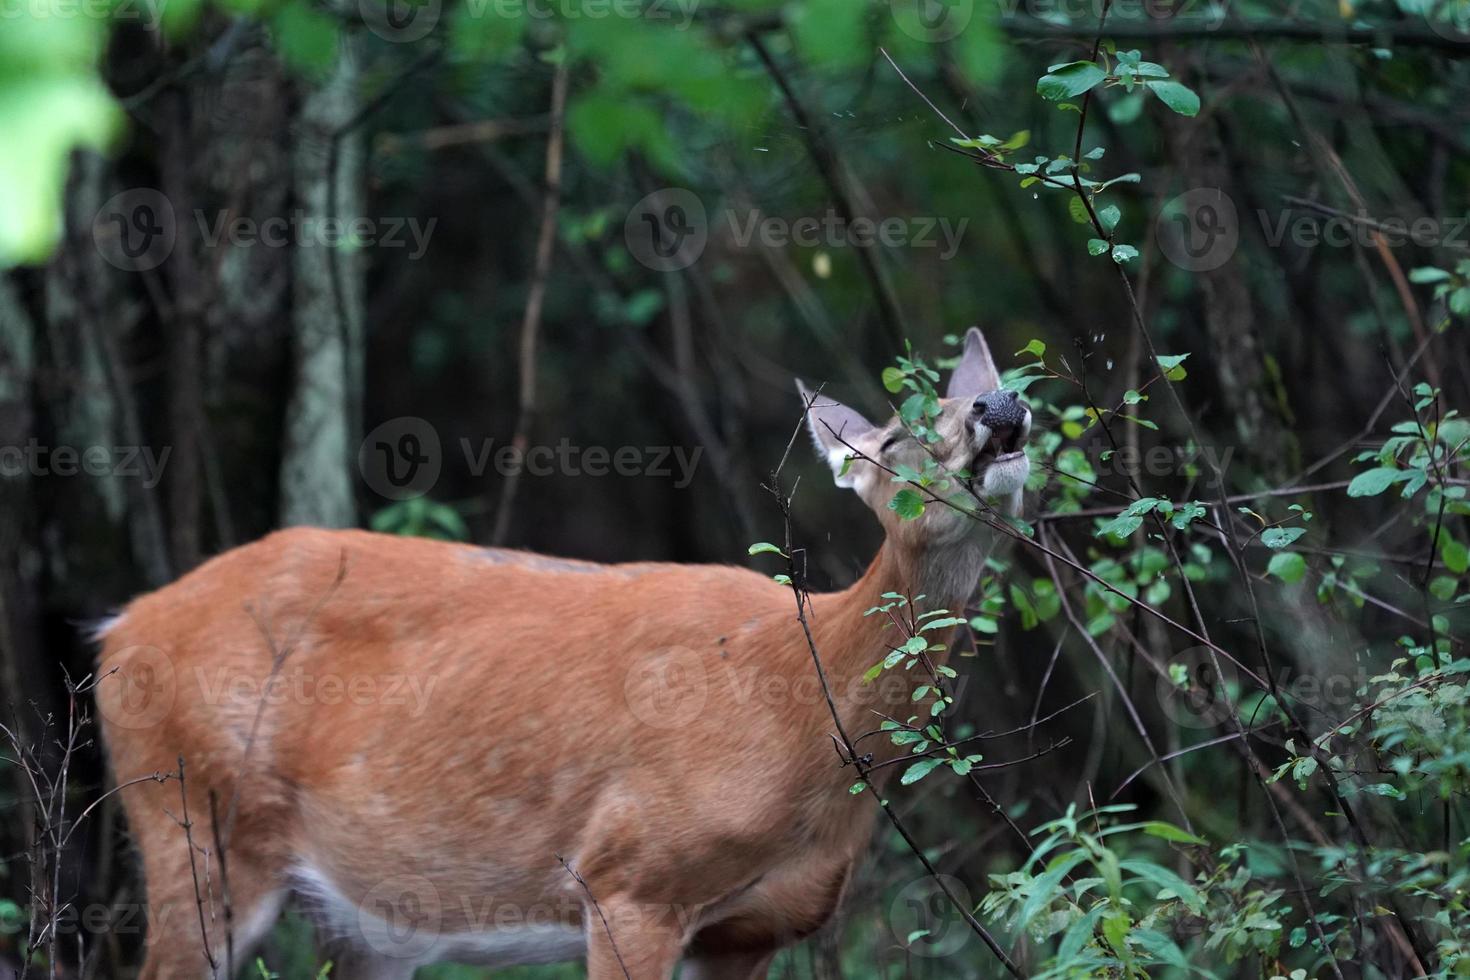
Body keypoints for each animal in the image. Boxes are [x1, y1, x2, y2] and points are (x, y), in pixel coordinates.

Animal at [94, 326, 1034, 975]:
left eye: (992, 394)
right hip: (194, 824)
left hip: (360, 921)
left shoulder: (756, 928)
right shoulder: (628, 878)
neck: (806, 706)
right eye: (895, 441)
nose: (999, 406)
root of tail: (120, 627)